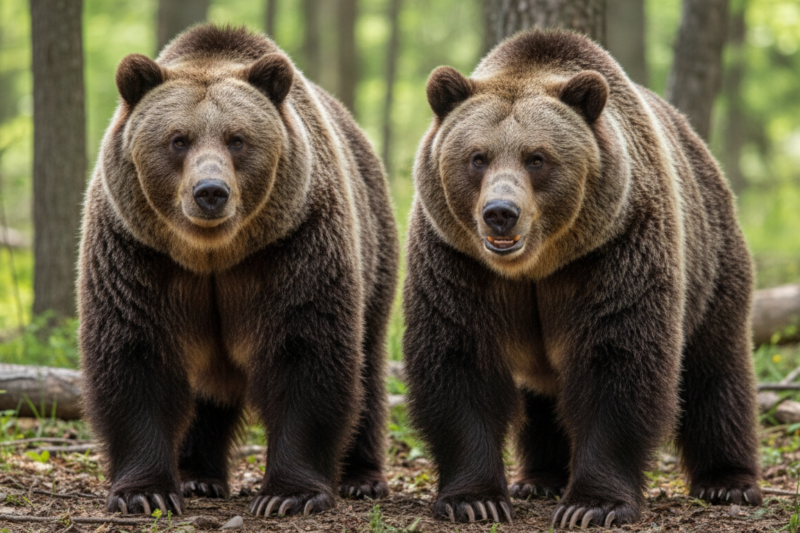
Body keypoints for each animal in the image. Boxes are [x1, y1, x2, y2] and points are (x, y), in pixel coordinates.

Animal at [78, 25, 398, 517]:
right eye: (178, 139)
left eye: (237, 138)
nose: (211, 191)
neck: (213, 254)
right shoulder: (137, 254)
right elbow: (135, 354)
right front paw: (145, 491)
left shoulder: (293, 247)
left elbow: (305, 353)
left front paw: (288, 494)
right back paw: (198, 475)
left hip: (375, 246)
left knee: (368, 364)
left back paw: (362, 478)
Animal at [402, 29, 762, 529]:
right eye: (477, 157)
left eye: (537, 158)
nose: (500, 213)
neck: (536, 266)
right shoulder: (456, 262)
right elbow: (459, 361)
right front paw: (474, 499)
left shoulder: (614, 253)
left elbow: (616, 364)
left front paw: (593, 505)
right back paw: (539, 476)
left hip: (711, 257)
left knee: (717, 369)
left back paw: (728, 482)